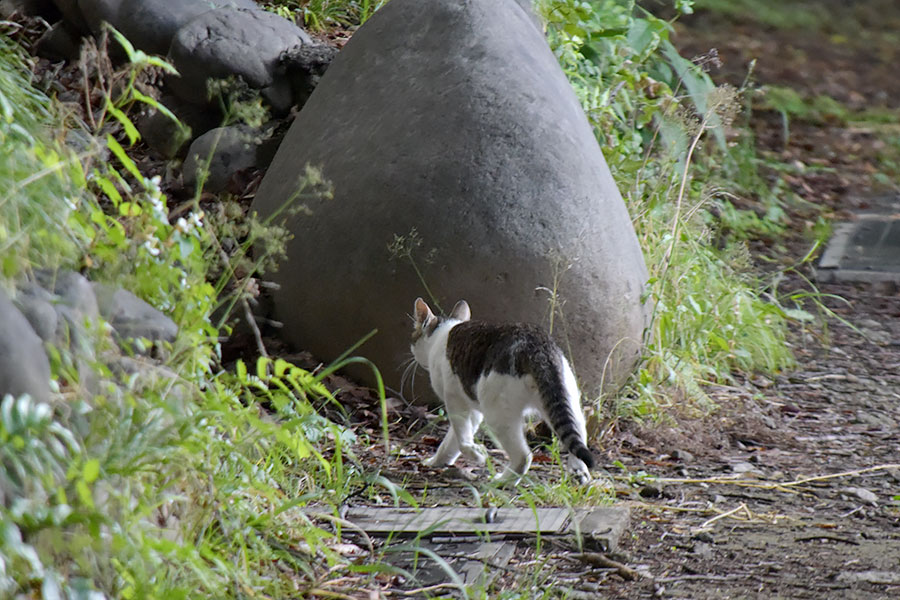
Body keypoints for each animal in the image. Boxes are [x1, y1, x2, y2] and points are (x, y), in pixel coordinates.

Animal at [412, 298, 596, 486]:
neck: (442, 334)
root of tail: (537, 348)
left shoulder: (455, 399)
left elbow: (461, 436)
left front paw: (476, 455)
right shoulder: (472, 407)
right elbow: (452, 441)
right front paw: (437, 461)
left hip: (498, 414)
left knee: (523, 456)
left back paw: (502, 480)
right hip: (564, 401)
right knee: (577, 434)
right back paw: (579, 472)